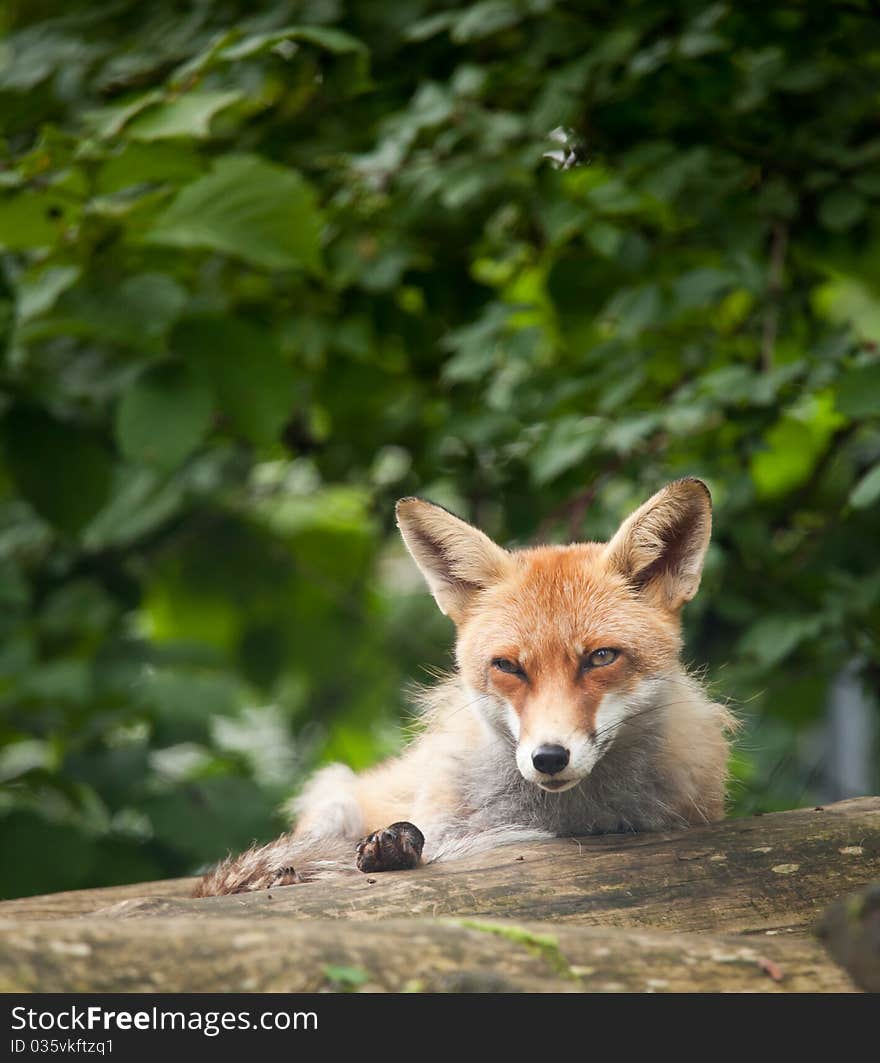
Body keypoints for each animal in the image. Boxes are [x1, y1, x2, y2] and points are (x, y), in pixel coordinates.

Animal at [194, 478, 735, 892]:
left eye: (600, 657)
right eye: (508, 666)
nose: (549, 758)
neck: (569, 821)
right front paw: (389, 851)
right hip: (334, 796)